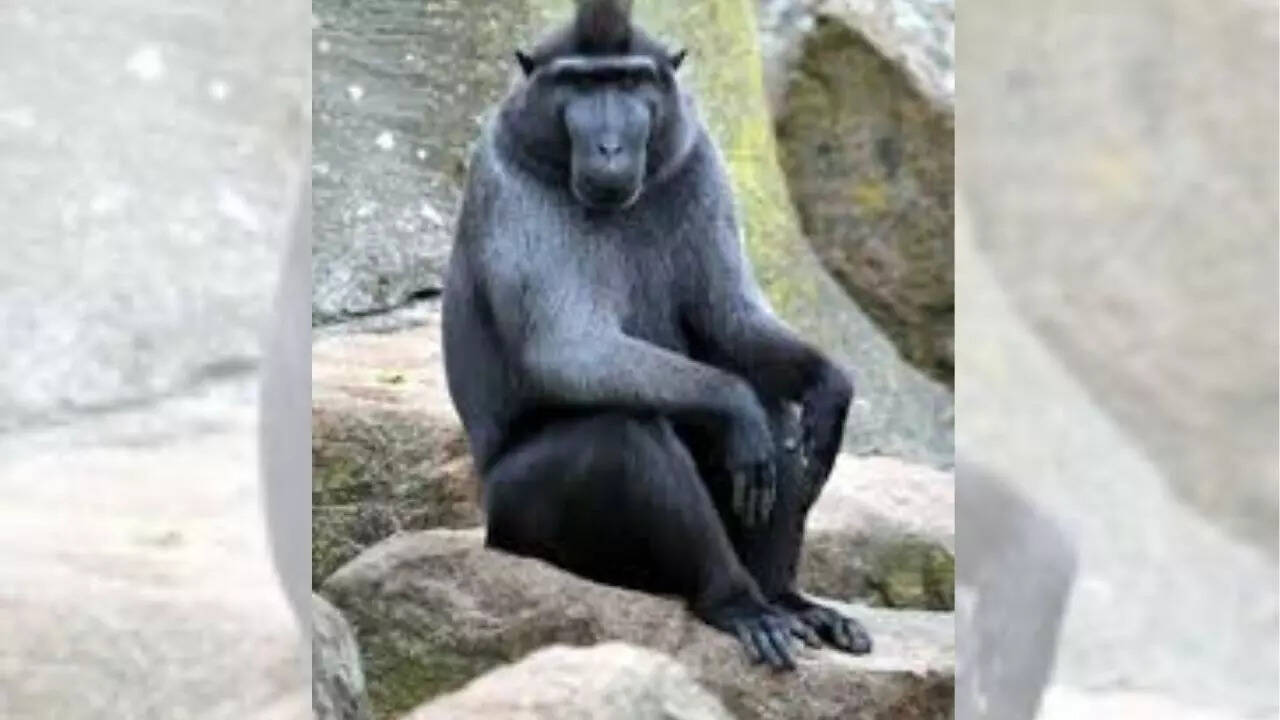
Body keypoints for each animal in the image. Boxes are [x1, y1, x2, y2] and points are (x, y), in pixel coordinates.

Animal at [442, 0, 870, 670]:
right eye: (579, 85)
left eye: (629, 82)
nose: (611, 147)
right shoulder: (506, 180)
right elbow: (565, 349)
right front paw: (735, 406)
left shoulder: (698, 160)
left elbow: (730, 320)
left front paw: (830, 389)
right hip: (519, 519)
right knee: (625, 431)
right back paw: (735, 601)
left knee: (773, 410)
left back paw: (785, 598)